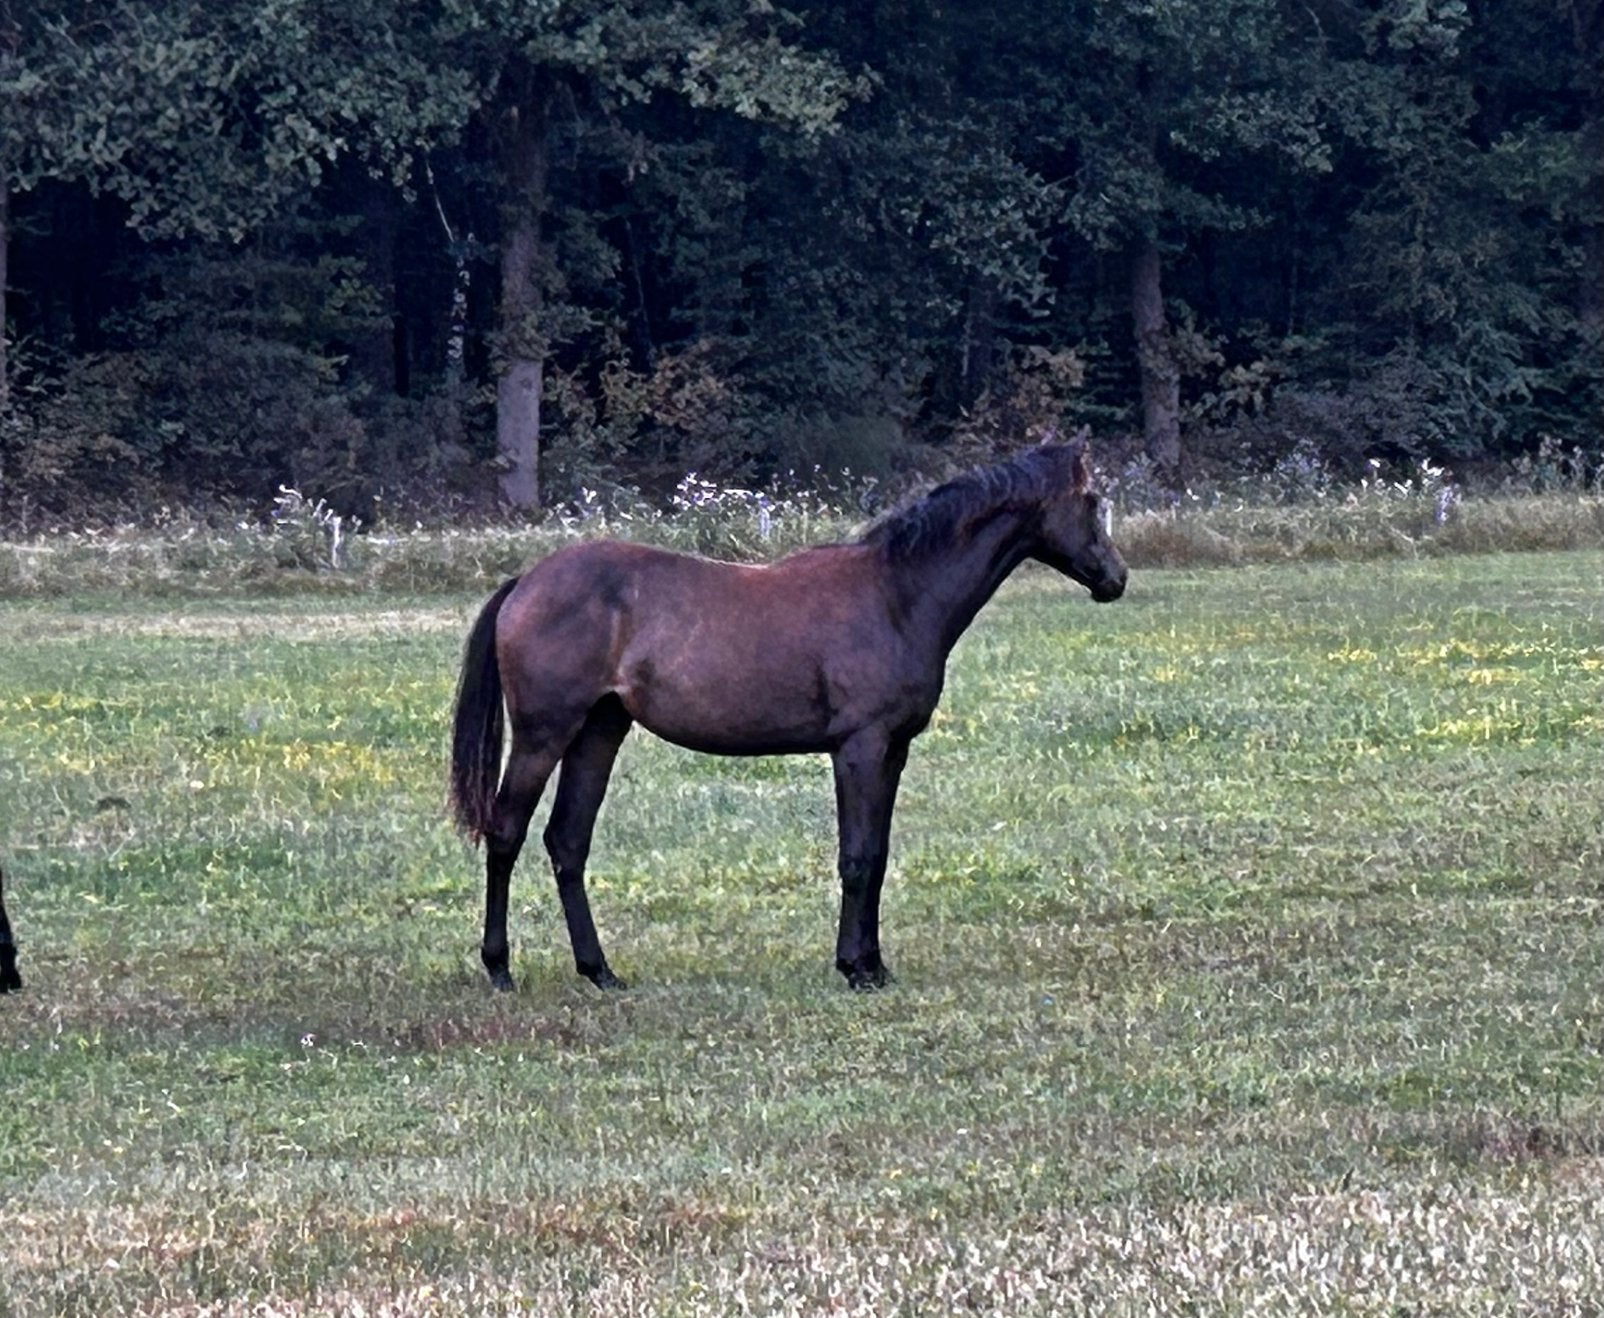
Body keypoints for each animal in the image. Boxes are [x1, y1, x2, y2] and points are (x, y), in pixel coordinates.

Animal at [448, 438, 1128, 992]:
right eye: (1092, 500)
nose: (1116, 579)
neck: (896, 596)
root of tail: (526, 582)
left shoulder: (894, 751)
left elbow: (878, 856)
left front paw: (873, 963)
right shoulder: (859, 747)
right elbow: (856, 857)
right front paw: (856, 970)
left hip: (599, 730)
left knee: (568, 841)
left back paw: (599, 972)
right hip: (544, 735)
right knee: (506, 834)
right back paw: (501, 969)